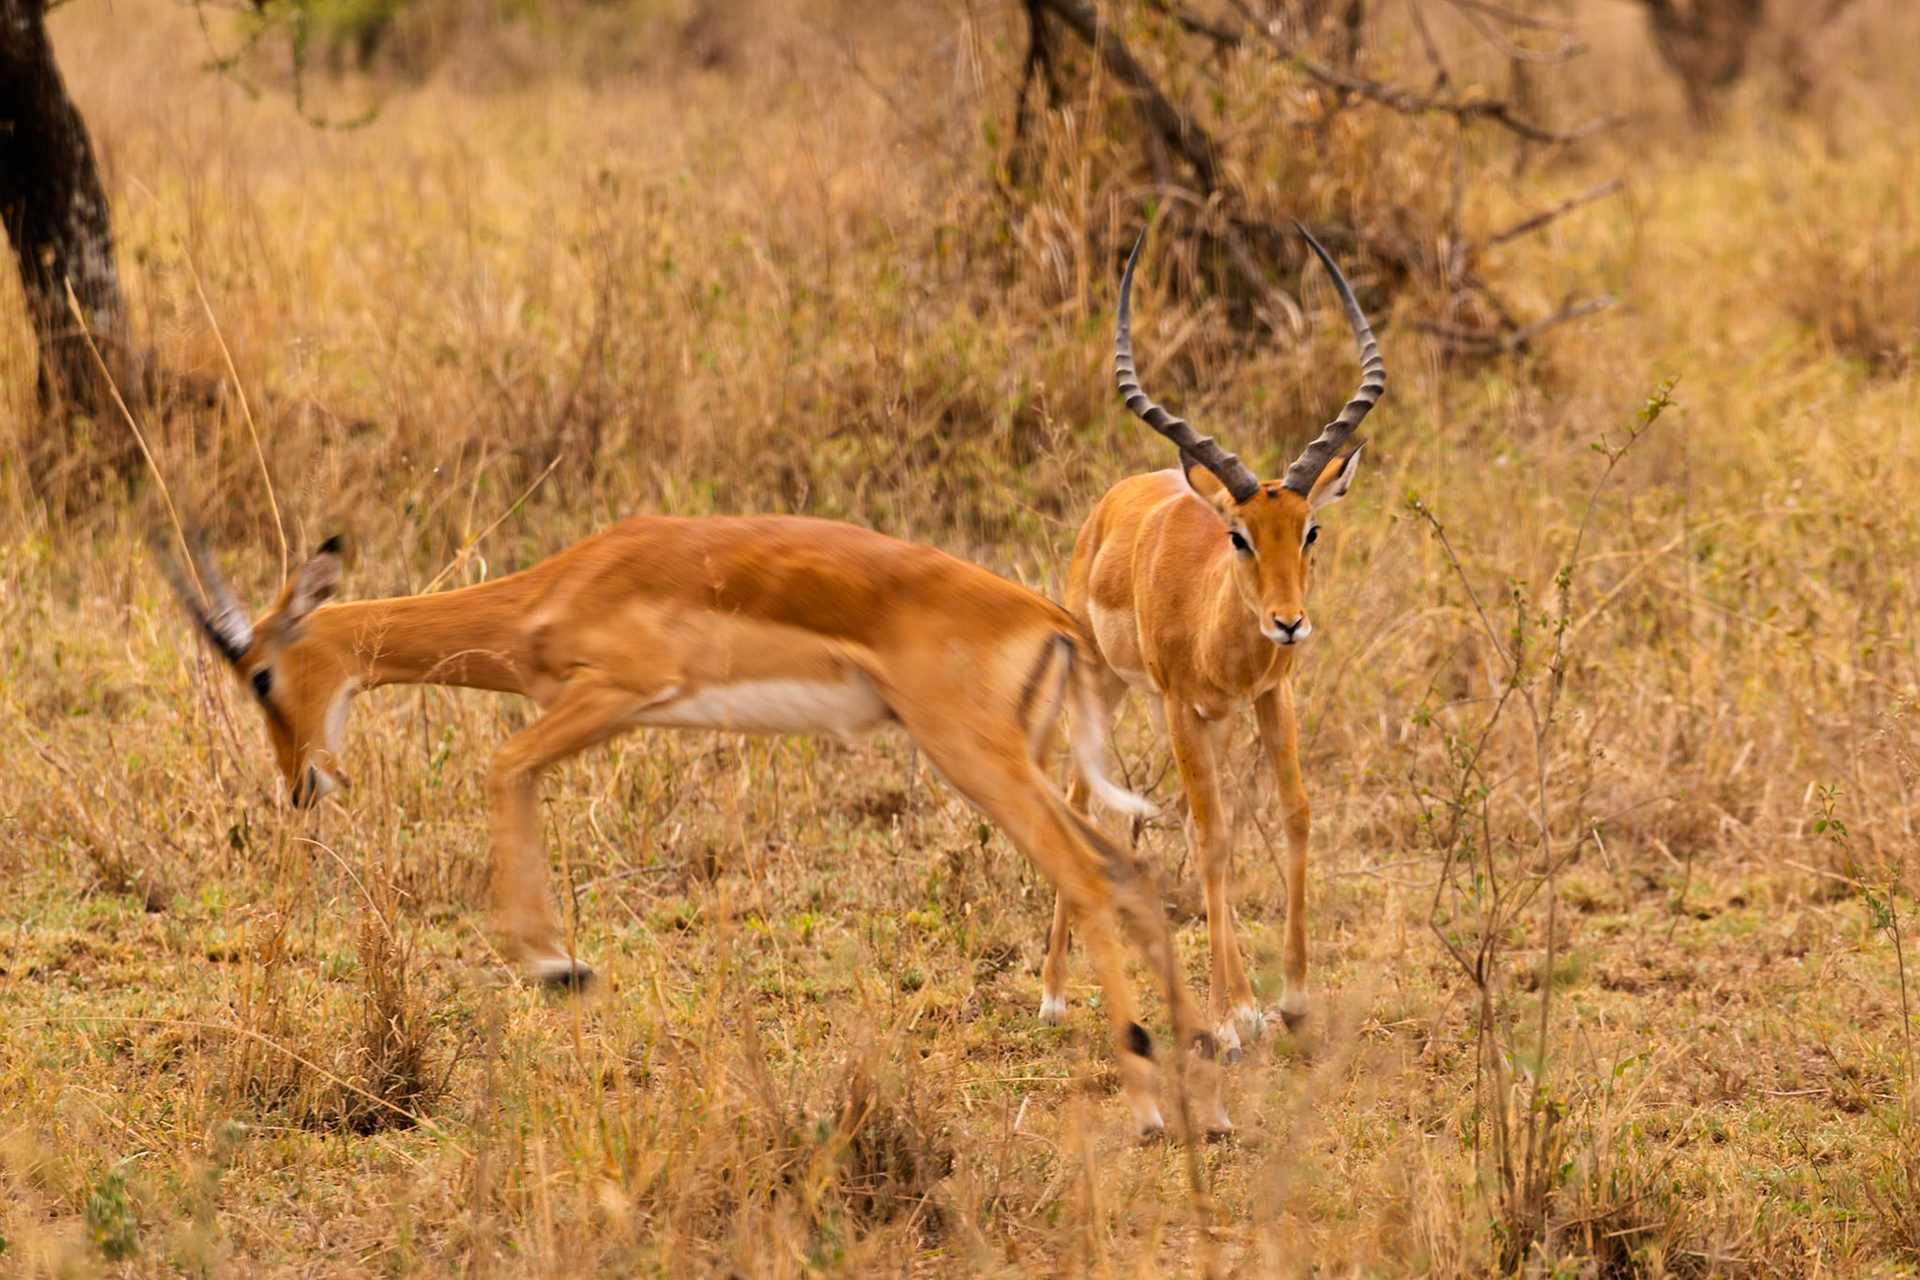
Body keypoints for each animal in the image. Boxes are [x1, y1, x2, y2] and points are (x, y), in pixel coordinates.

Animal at [159, 515, 1231, 1136]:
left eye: (261, 676)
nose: (302, 784)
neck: (554, 591)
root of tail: (1053, 621)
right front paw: (559, 962)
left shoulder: (616, 694)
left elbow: (501, 768)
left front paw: (557, 965)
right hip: (1018, 767)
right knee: (1133, 874)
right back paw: (1202, 1090)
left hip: (979, 761)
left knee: (1088, 879)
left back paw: (1149, 1110)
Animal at [1041, 224, 1384, 1060]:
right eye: (1238, 536)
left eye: (1310, 529)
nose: (1289, 622)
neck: (1216, 627)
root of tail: (1114, 501)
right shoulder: (1177, 706)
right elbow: (1214, 837)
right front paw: (1230, 1018)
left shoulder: (1270, 695)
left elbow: (1292, 815)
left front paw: (1290, 1000)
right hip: (1105, 683)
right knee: (1080, 798)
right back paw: (1055, 998)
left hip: (1213, 721)